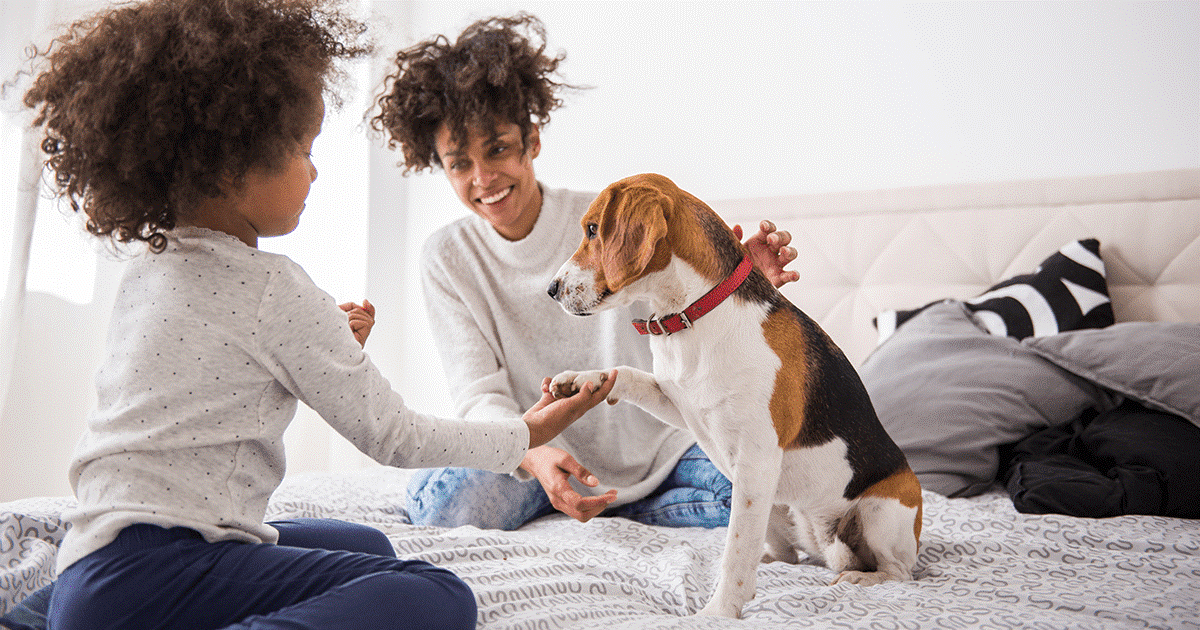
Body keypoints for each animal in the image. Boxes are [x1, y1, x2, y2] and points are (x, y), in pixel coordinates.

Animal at [549, 171, 921, 619]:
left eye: (592, 230)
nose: (551, 289)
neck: (692, 315)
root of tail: (823, 542)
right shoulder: (679, 404)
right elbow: (626, 373)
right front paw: (582, 379)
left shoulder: (756, 460)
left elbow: (736, 552)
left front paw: (718, 611)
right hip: (773, 507)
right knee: (788, 556)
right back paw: (776, 561)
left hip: (878, 507)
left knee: (899, 572)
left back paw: (860, 577)